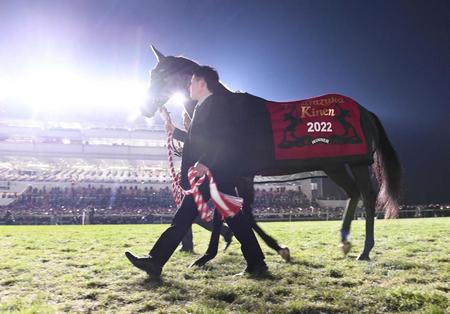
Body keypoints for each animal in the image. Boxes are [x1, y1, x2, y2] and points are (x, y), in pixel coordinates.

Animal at [143, 45, 400, 262]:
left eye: (162, 76)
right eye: (151, 75)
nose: (145, 109)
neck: (226, 111)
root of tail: (365, 111)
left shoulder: (234, 172)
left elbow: (235, 210)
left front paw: (273, 248)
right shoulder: (238, 175)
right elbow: (236, 210)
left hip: (356, 163)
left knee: (367, 196)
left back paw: (365, 250)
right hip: (335, 165)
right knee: (353, 193)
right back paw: (345, 242)